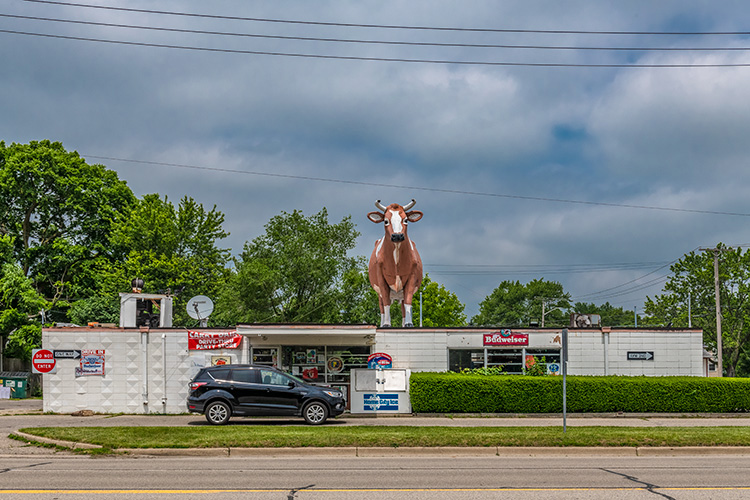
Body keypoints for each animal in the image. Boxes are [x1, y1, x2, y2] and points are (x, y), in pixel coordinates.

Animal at [368, 199, 424, 328]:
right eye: (386, 221)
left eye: (406, 220)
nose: (397, 235)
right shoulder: (381, 280)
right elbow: (386, 304)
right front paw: (386, 324)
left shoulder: (412, 278)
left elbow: (408, 302)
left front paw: (409, 323)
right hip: (379, 293)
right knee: (382, 307)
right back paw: (383, 322)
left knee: (403, 307)